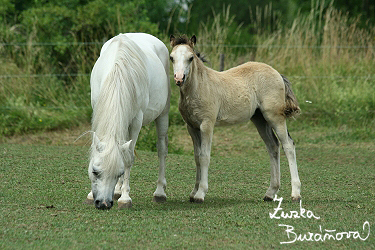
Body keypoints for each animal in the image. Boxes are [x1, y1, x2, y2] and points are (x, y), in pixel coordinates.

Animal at [86, 33, 170, 209]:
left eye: (119, 173)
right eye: (95, 171)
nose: (104, 204)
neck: (117, 74)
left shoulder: (136, 121)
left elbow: (128, 158)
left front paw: (125, 198)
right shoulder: (96, 110)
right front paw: (91, 194)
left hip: (163, 114)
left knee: (161, 150)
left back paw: (159, 192)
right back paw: (117, 191)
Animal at [170, 34, 302, 203]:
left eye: (191, 58)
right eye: (171, 57)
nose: (179, 78)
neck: (200, 87)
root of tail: (278, 73)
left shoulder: (207, 125)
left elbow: (204, 156)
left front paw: (200, 194)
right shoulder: (192, 127)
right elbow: (197, 157)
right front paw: (193, 192)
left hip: (274, 116)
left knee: (288, 145)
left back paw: (295, 193)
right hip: (260, 119)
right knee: (273, 146)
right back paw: (270, 192)